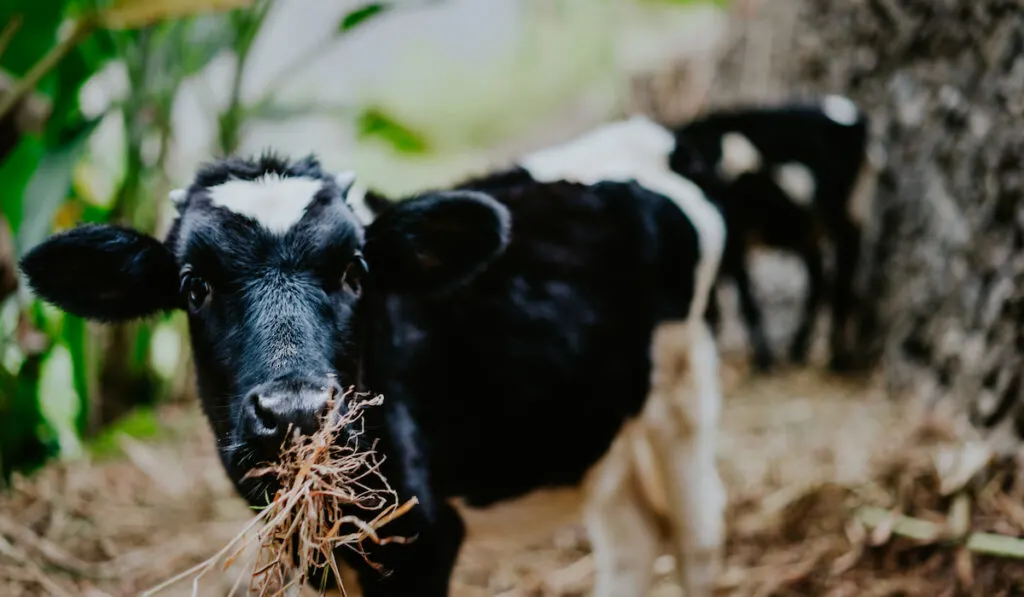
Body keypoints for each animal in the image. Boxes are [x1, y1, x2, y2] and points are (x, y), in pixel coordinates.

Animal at [22, 124, 729, 593]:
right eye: (194, 287)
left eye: (356, 272)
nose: (296, 411)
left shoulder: (423, 536)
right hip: (603, 427)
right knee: (633, 541)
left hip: (683, 388)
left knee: (696, 535)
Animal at [667, 95, 876, 370]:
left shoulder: (733, 237)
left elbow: (745, 297)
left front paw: (763, 359)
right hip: (814, 230)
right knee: (820, 282)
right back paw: (799, 349)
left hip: (843, 217)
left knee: (841, 278)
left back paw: (837, 357)